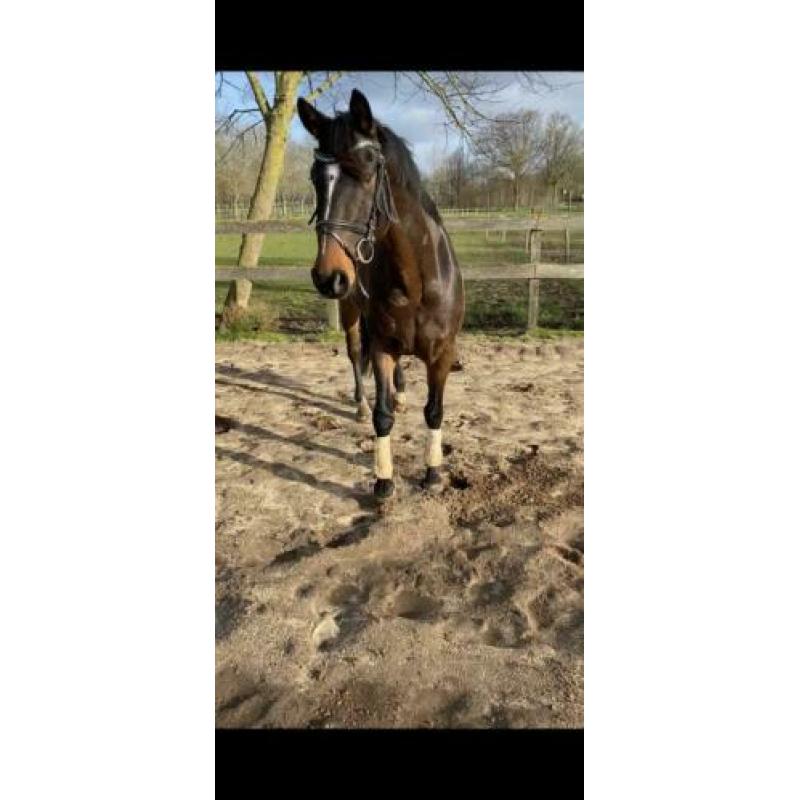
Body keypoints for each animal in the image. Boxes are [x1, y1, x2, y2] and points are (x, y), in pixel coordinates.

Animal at [297, 88, 465, 501]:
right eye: (315, 178)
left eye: (367, 168)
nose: (328, 276)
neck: (416, 282)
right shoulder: (381, 346)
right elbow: (382, 415)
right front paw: (383, 481)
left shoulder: (442, 353)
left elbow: (434, 411)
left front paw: (432, 473)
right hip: (351, 315)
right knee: (355, 355)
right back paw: (359, 404)